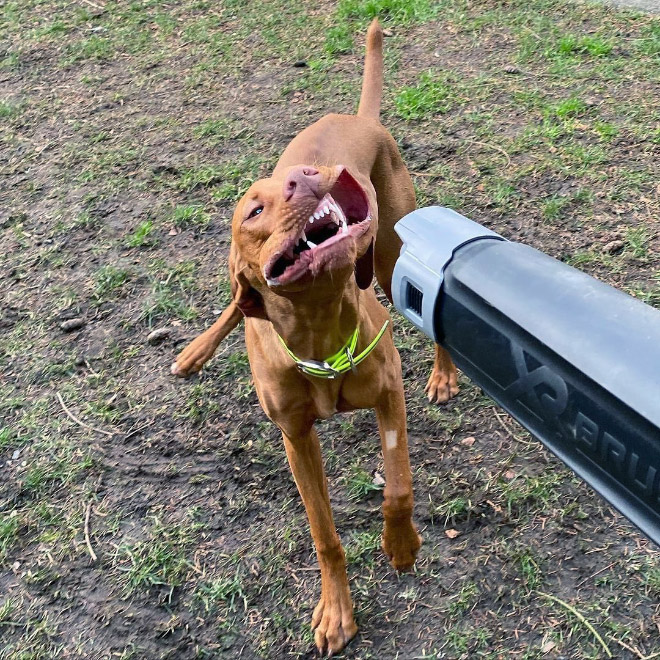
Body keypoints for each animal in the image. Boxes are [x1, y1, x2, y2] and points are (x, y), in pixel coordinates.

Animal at [173, 19, 456, 656]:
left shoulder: (389, 397)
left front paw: (401, 545)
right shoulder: (296, 440)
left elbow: (398, 486)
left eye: (295, 184)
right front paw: (335, 611)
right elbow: (324, 534)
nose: (307, 178)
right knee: (235, 306)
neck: (321, 332)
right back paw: (196, 349)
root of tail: (357, 117)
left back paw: (445, 373)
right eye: (253, 211)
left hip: (390, 253)